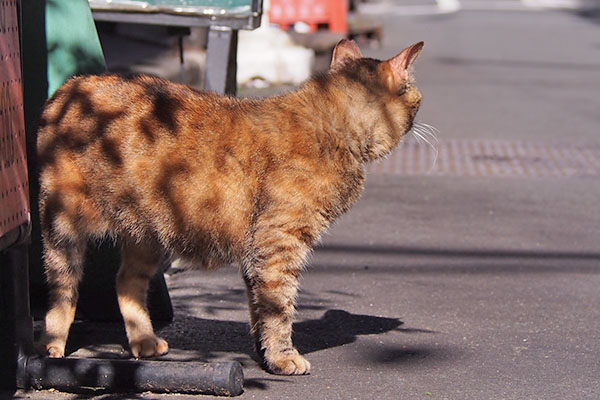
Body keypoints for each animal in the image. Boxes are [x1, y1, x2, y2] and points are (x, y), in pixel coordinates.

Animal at [37, 39, 424, 376]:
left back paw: (144, 340)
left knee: (125, 282)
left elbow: (259, 309)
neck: (331, 128)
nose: (421, 109)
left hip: (146, 234)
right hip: (63, 228)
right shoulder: (279, 246)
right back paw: (53, 344)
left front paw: (264, 354)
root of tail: (69, 87)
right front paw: (283, 357)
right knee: (62, 291)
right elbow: (279, 307)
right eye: (417, 98)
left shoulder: (258, 253)